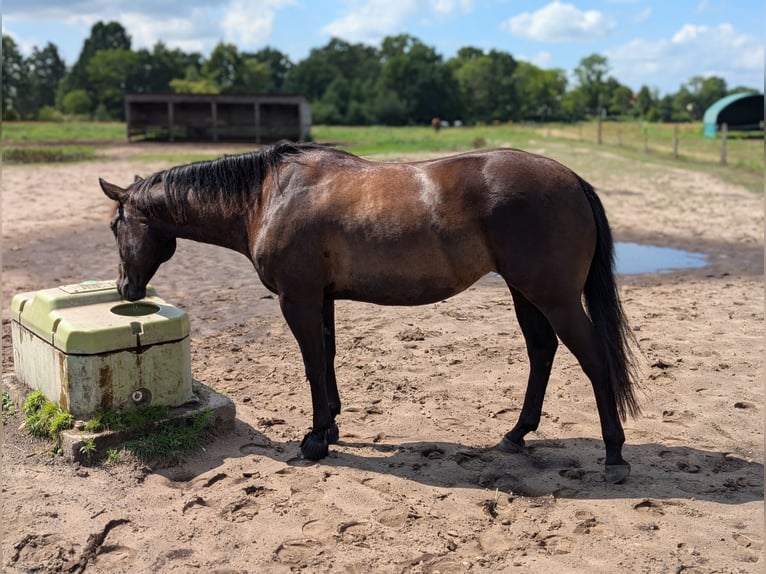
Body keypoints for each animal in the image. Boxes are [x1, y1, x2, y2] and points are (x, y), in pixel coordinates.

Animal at [100, 141, 640, 484]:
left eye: (114, 226)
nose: (126, 288)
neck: (269, 195)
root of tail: (572, 179)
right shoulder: (321, 298)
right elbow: (328, 359)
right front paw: (332, 425)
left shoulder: (297, 298)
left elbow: (312, 363)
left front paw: (316, 440)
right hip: (526, 293)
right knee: (542, 352)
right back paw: (516, 434)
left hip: (554, 298)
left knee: (594, 360)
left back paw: (614, 456)